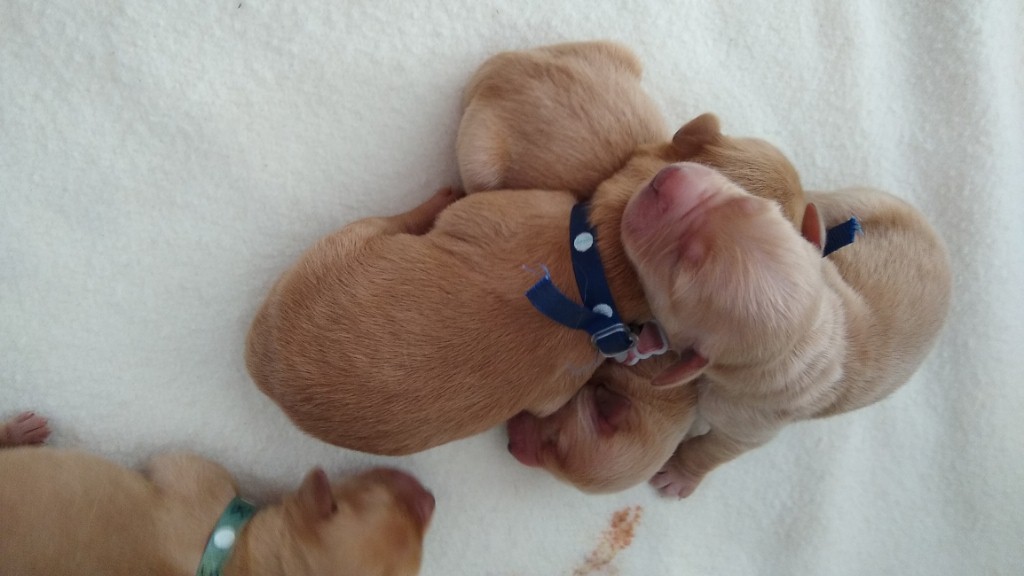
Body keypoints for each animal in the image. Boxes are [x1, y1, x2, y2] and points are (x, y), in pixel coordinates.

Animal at [512, 186, 950, 491]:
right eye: (749, 202)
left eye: (679, 268)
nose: (663, 180)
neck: (814, 337)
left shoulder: (753, 422)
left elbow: (720, 448)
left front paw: (679, 474)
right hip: (865, 202)